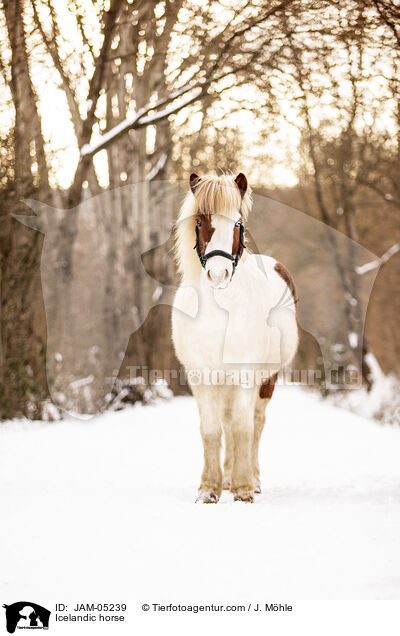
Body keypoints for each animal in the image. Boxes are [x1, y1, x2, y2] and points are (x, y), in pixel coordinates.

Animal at [171, 173, 296, 502]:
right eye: (199, 221)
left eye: (237, 222)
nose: (218, 275)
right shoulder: (201, 378)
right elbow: (212, 429)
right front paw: (209, 488)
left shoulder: (246, 376)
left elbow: (242, 427)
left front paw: (243, 489)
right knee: (226, 423)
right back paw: (226, 478)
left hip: (266, 381)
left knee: (255, 423)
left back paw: (253, 478)